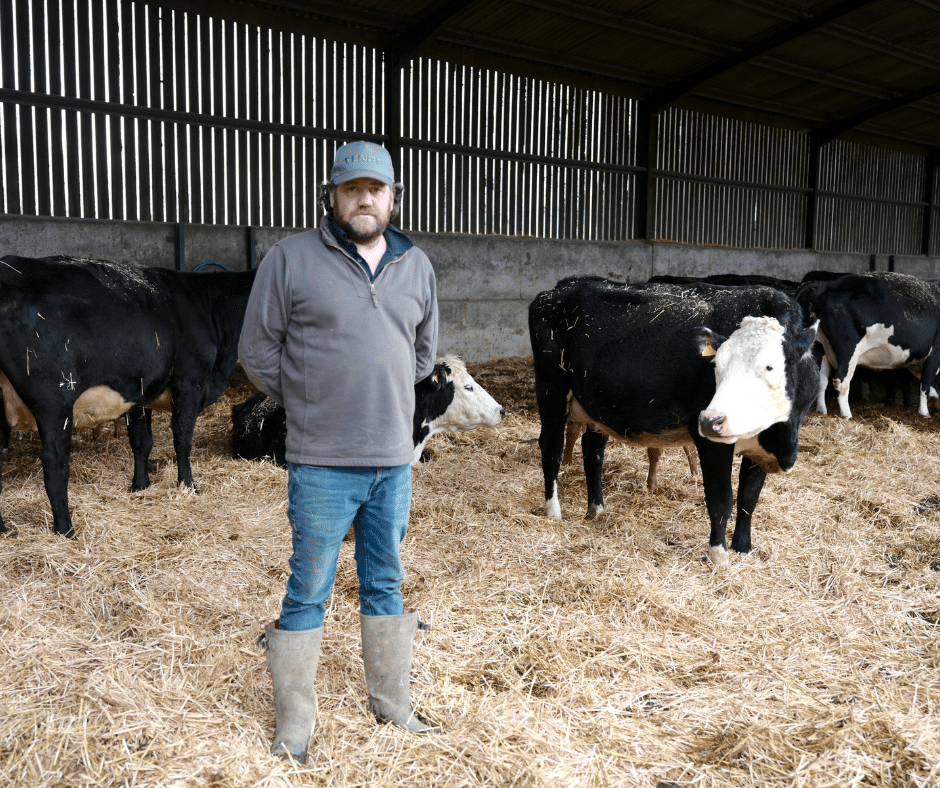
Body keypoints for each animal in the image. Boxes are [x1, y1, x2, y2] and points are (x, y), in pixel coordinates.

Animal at [0, 255, 258, 540]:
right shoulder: (190, 381)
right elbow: (182, 440)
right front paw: (188, 486)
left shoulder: (140, 391)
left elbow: (142, 441)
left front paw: (140, 486)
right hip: (54, 400)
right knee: (55, 463)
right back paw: (66, 530)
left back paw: (2, 529)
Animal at [532, 278, 820, 568]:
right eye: (716, 365)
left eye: (769, 367)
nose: (711, 420)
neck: (781, 436)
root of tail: (561, 288)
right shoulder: (712, 443)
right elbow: (721, 499)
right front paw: (718, 555)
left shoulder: (758, 447)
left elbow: (748, 498)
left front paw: (742, 548)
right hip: (551, 391)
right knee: (551, 449)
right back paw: (553, 511)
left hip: (597, 405)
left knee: (593, 452)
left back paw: (597, 509)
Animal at [796, 270, 940, 418]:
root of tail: (825, 284)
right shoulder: (934, 352)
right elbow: (926, 383)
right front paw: (924, 412)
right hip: (848, 349)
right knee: (840, 381)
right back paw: (847, 414)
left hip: (821, 346)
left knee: (821, 380)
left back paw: (822, 410)